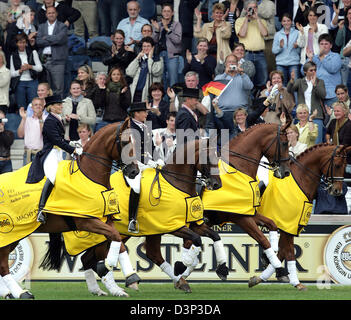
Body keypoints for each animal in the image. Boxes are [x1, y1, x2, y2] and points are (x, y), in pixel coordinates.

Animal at [0, 123, 140, 300]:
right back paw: (21, 293)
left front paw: (129, 279)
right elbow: (115, 238)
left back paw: (10, 292)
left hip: (16, 234)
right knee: (3, 264)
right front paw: (109, 266)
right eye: (124, 143)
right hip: (9, 232)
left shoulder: (105, 220)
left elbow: (118, 241)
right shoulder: (87, 221)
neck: (89, 176)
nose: (134, 172)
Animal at [40, 138, 224, 296]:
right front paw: (183, 264)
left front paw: (220, 268)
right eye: (209, 158)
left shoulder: (185, 225)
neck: (175, 183)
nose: (217, 184)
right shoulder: (172, 225)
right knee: (93, 257)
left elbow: (214, 236)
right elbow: (196, 240)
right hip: (103, 235)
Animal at [248, 144, 351, 292]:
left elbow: (282, 251)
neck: (300, 179)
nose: (337, 191)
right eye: (337, 165)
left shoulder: (291, 226)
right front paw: (296, 282)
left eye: (345, 166)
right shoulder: (288, 226)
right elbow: (289, 252)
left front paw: (262, 276)